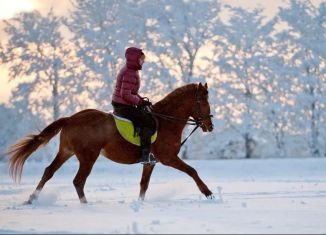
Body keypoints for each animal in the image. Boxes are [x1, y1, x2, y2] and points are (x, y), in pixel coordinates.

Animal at [7, 82, 214, 204]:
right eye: (203, 101)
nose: (210, 126)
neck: (165, 121)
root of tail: (70, 119)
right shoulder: (169, 158)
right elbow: (192, 171)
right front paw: (208, 193)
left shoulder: (150, 162)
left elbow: (143, 184)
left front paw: (140, 204)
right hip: (88, 157)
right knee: (78, 181)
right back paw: (85, 205)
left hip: (66, 152)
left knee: (49, 172)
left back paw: (32, 199)